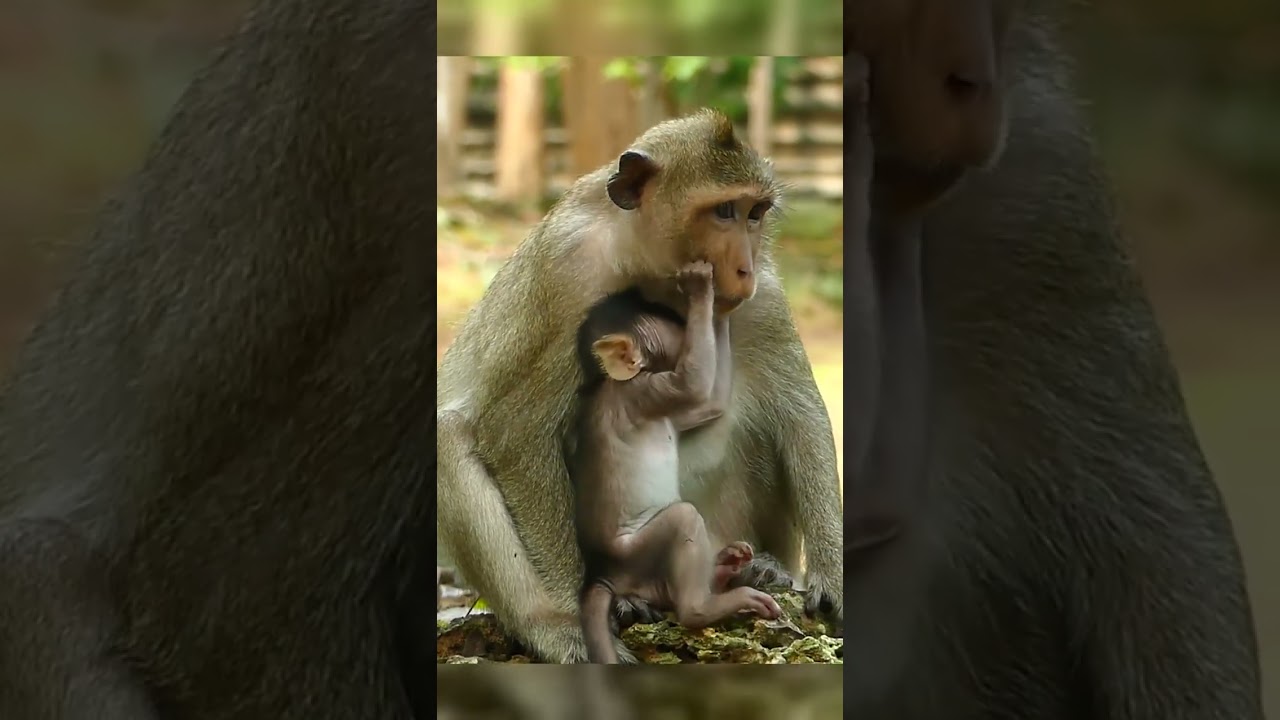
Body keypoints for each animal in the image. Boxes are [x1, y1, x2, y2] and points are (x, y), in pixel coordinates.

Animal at [569, 270, 783, 664]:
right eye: (672, 326)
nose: (685, 324)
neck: (612, 382)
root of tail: (606, 576)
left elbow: (710, 404)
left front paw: (722, 307)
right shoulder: (646, 393)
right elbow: (694, 385)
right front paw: (702, 292)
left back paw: (724, 568)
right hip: (638, 552)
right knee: (683, 520)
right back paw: (704, 606)